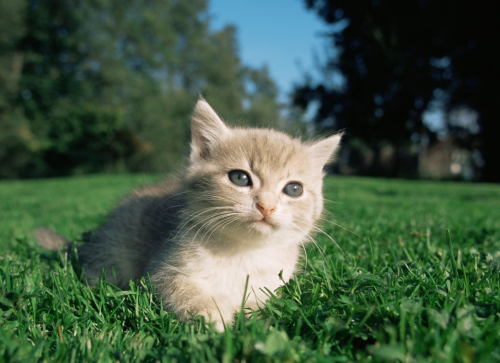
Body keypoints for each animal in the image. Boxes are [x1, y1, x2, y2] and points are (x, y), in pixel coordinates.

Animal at [34, 98, 340, 332]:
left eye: (294, 189)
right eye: (240, 178)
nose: (267, 206)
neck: (242, 252)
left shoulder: (271, 286)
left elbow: (262, 306)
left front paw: (255, 321)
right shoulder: (161, 271)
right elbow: (183, 291)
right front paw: (212, 316)